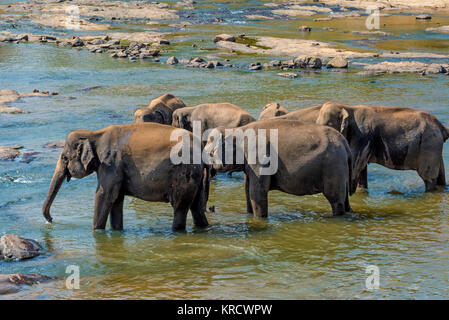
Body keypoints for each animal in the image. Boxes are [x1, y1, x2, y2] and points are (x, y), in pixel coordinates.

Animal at [42, 122, 210, 230]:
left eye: (64, 158)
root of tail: (201, 148)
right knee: (197, 208)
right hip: (196, 178)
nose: (51, 220)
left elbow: (104, 195)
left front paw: (96, 231)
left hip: (185, 175)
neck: (94, 134)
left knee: (180, 207)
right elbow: (116, 199)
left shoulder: (110, 163)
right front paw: (116, 230)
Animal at [205, 119, 356, 218]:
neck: (237, 130)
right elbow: (248, 191)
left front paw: (259, 219)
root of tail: (345, 144)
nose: (210, 208)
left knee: (335, 199)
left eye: (210, 153)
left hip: (333, 166)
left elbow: (257, 192)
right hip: (340, 168)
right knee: (345, 200)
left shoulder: (259, 156)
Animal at [316, 102, 448, 192]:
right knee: (440, 175)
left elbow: (354, 170)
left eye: (327, 126)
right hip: (434, 145)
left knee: (428, 178)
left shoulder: (362, 137)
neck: (347, 107)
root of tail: (441, 127)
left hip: (429, 144)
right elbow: (361, 171)